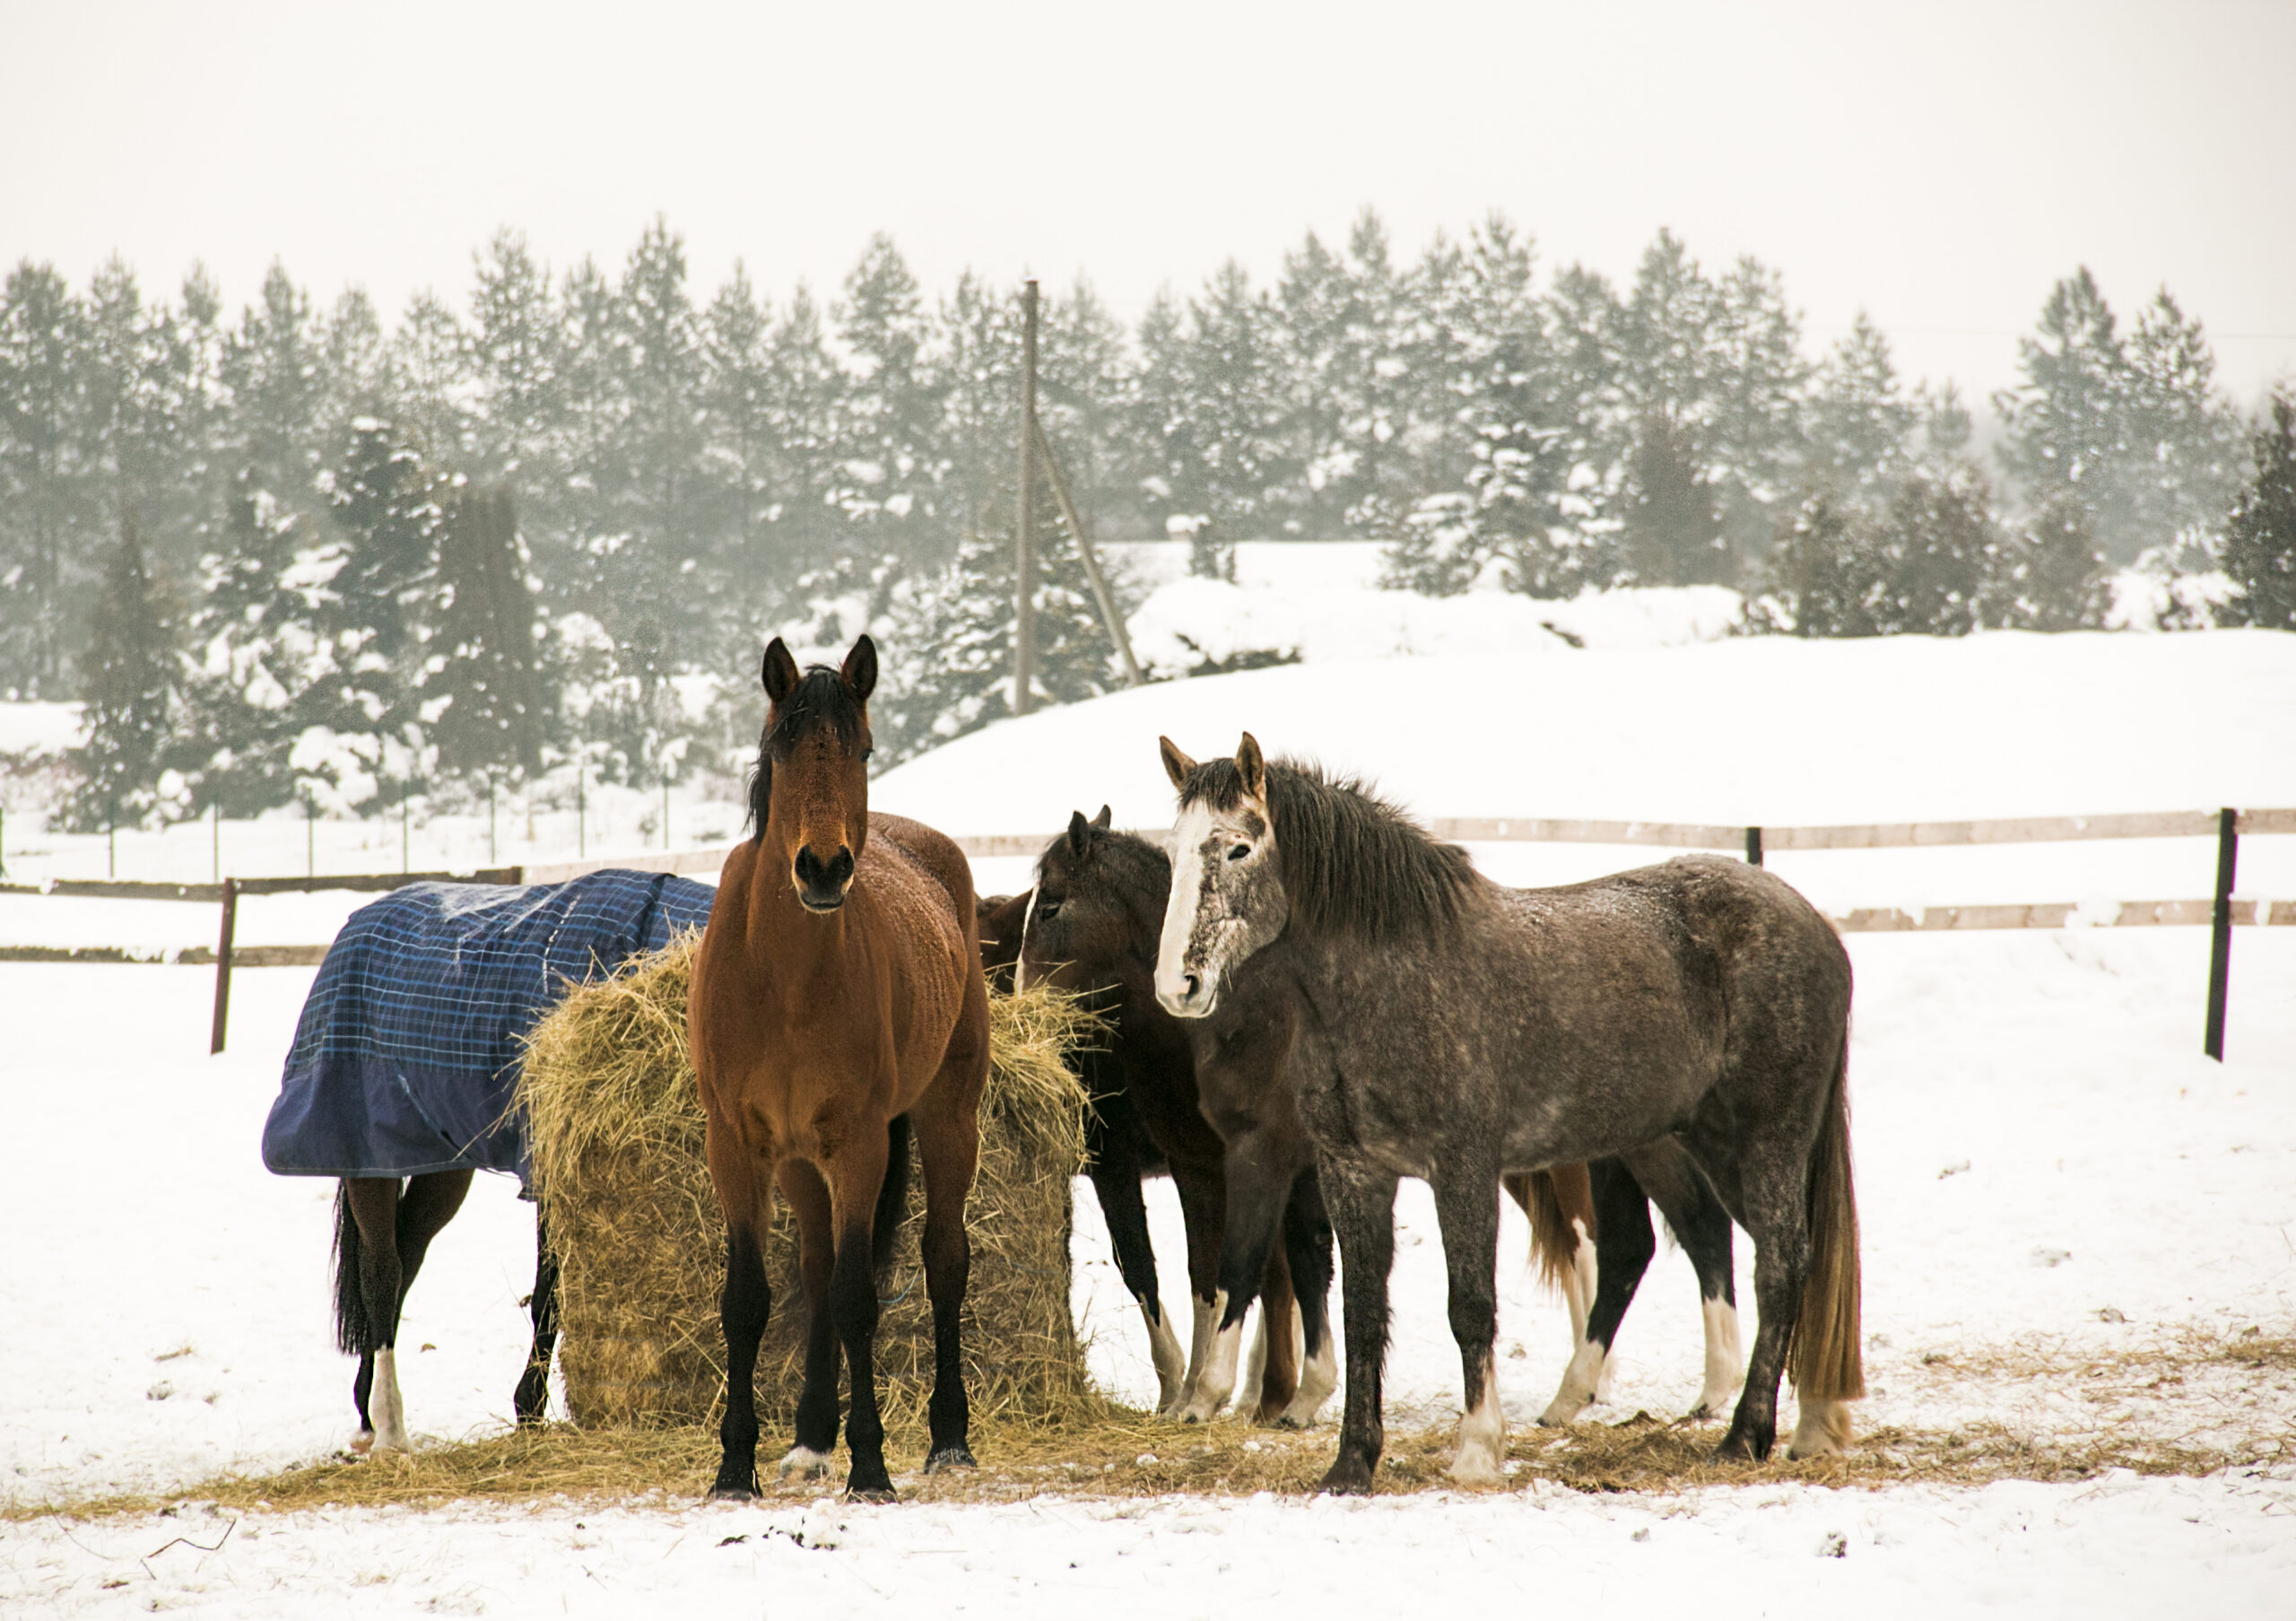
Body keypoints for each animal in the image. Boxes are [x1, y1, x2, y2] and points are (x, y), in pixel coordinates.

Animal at [689, 635, 991, 1502]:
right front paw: (736, 1465)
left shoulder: (861, 1142)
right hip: (799, 1162)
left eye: (860, 748)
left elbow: (860, 1296)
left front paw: (871, 1462)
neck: (785, 978)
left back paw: (948, 1437)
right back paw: (812, 1433)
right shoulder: (739, 1145)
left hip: (948, 1118)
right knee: (819, 1265)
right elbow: (750, 1299)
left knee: (944, 1260)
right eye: (782, 749)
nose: (822, 867)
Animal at [995, 807, 1335, 1426]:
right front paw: (1195, 1389)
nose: (1022, 1001)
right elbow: (1204, 1273)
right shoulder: (1185, 1163)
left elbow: (1189, 1269)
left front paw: (1191, 1390)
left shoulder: (1172, 1164)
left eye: (1051, 904)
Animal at [1152, 734, 1862, 1491]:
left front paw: (1478, 1448)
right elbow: (1363, 1313)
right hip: (1716, 1143)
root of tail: (1816, 926)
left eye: (1237, 848)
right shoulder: (1354, 1172)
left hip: (1768, 1139)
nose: (1178, 985)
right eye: (1174, 849)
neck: (1391, 982)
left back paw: (1744, 1435)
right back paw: (1813, 1424)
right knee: (1785, 1259)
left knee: (1780, 1264)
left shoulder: (1462, 1168)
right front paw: (1352, 1461)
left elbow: (1470, 1305)